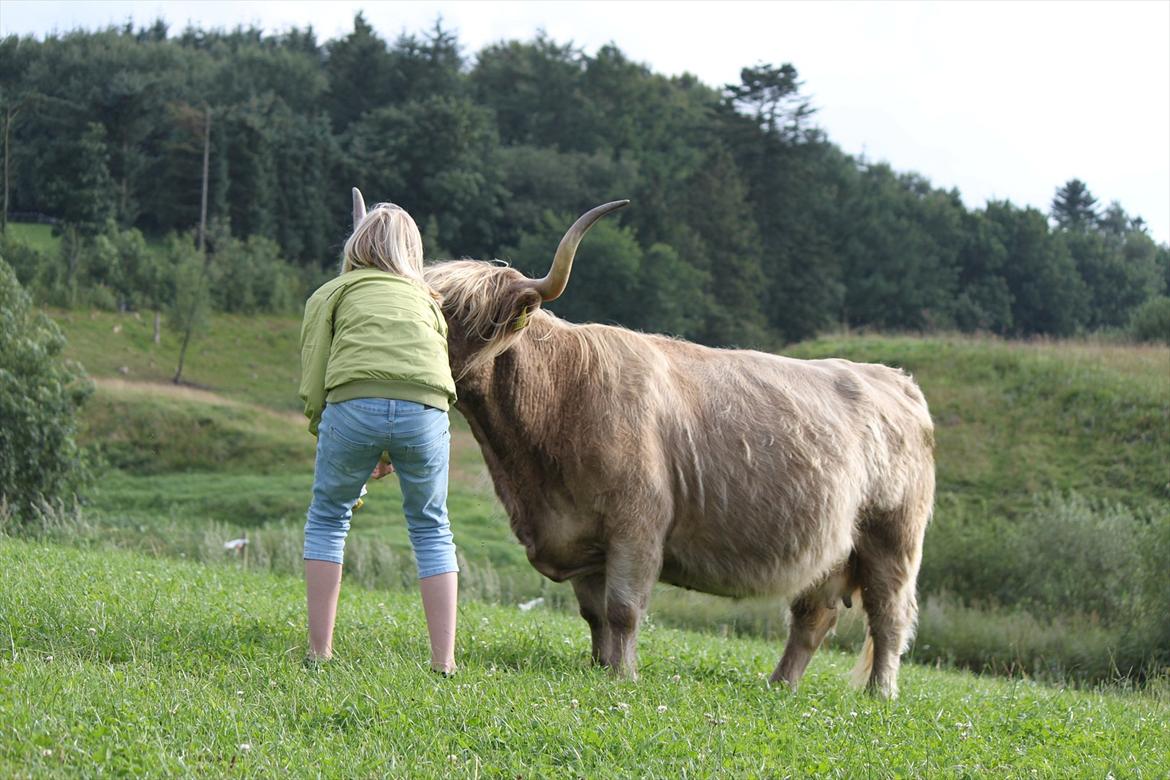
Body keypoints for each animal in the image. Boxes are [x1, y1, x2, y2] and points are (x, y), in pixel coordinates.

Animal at [352, 190, 935, 698]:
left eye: (460, 318)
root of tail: (894, 377)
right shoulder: (580, 535)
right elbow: (594, 613)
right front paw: (599, 667)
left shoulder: (638, 524)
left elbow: (624, 609)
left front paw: (624, 676)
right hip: (832, 552)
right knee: (813, 618)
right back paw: (781, 687)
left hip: (893, 539)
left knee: (889, 619)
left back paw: (880, 695)